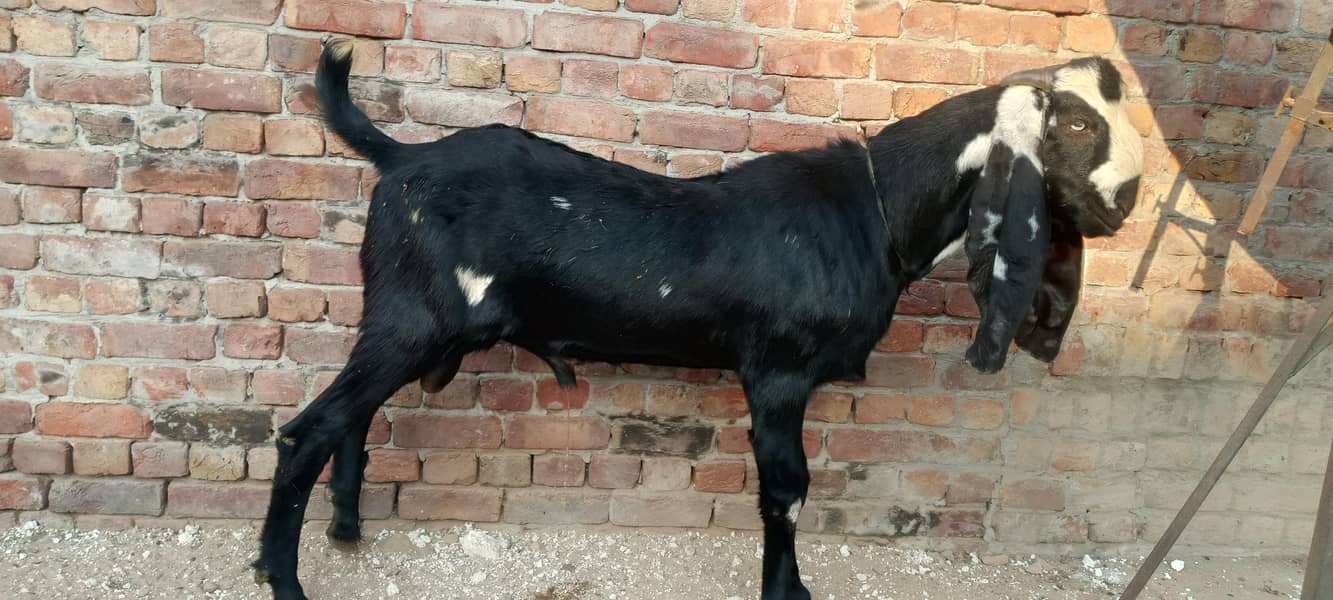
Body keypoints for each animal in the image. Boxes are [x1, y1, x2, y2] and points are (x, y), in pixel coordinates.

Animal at [253, 39, 1143, 600]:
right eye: (1073, 122)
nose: (1128, 197)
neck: (873, 211)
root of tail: (399, 157)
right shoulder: (778, 373)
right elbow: (787, 490)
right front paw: (788, 591)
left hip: (406, 323)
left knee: (349, 420)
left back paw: (346, 532)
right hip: (413, 320)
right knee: (309, 429)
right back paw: (284, 577)